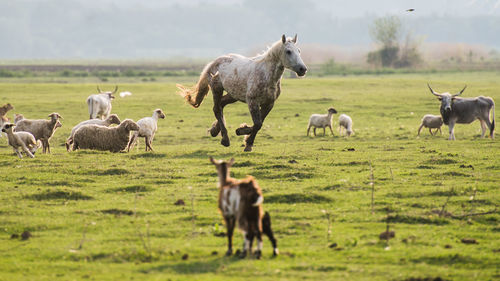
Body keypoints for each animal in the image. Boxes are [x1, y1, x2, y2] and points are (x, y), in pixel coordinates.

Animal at [178, 34, 306, 151]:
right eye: (288, 51)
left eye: (299, 51)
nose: (302, 69)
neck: (266, 75)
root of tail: (214, 62)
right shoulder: (252, 101)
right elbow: (258, 124)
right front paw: (241, 132)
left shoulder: (269, 104)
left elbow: (259, 123)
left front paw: (248, 142)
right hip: (217, 89)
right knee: (217, 109)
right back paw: (225, 139)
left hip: (233, 95)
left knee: (221, 104)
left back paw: (215, 130)